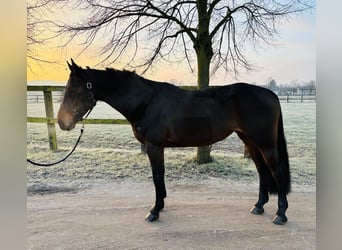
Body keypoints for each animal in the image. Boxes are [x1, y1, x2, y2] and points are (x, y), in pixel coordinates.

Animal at [57, 59, 290, 226]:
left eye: (75, 89)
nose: (62, 122)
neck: (147, 101)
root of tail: (269, 93)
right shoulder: (157, 147)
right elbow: (160, 175)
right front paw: (159, 206)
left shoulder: (153, 145)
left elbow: (157, 176)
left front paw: (154, 211)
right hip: (250, 141)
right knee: (262, 171)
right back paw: (259, 206)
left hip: (265, 143)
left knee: (276, 171)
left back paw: (280, 214)